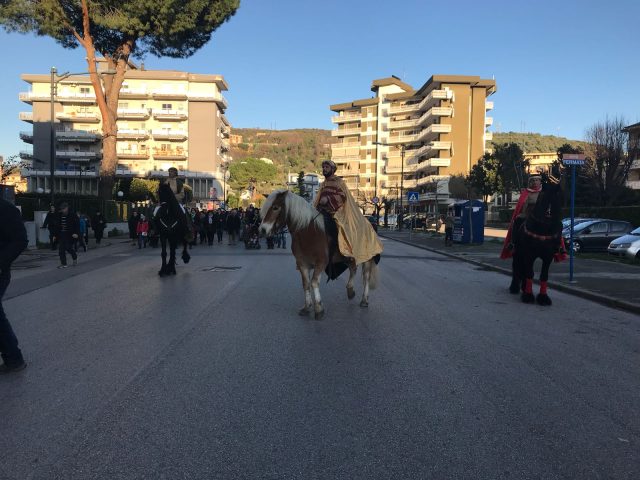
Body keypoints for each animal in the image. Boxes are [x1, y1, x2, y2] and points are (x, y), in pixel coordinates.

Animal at [260, 189, 380, 320]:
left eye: (275, 207)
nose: (262, 230)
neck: (308, 232)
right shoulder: (302, 264)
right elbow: (306, 284)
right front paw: (307, 307)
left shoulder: (321, 263)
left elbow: (314, 282)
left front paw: (318, 308)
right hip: (348, 258)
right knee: (353, 269)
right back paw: (350, 291)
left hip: (366, 257)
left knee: (366, 277)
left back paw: (364, 300)